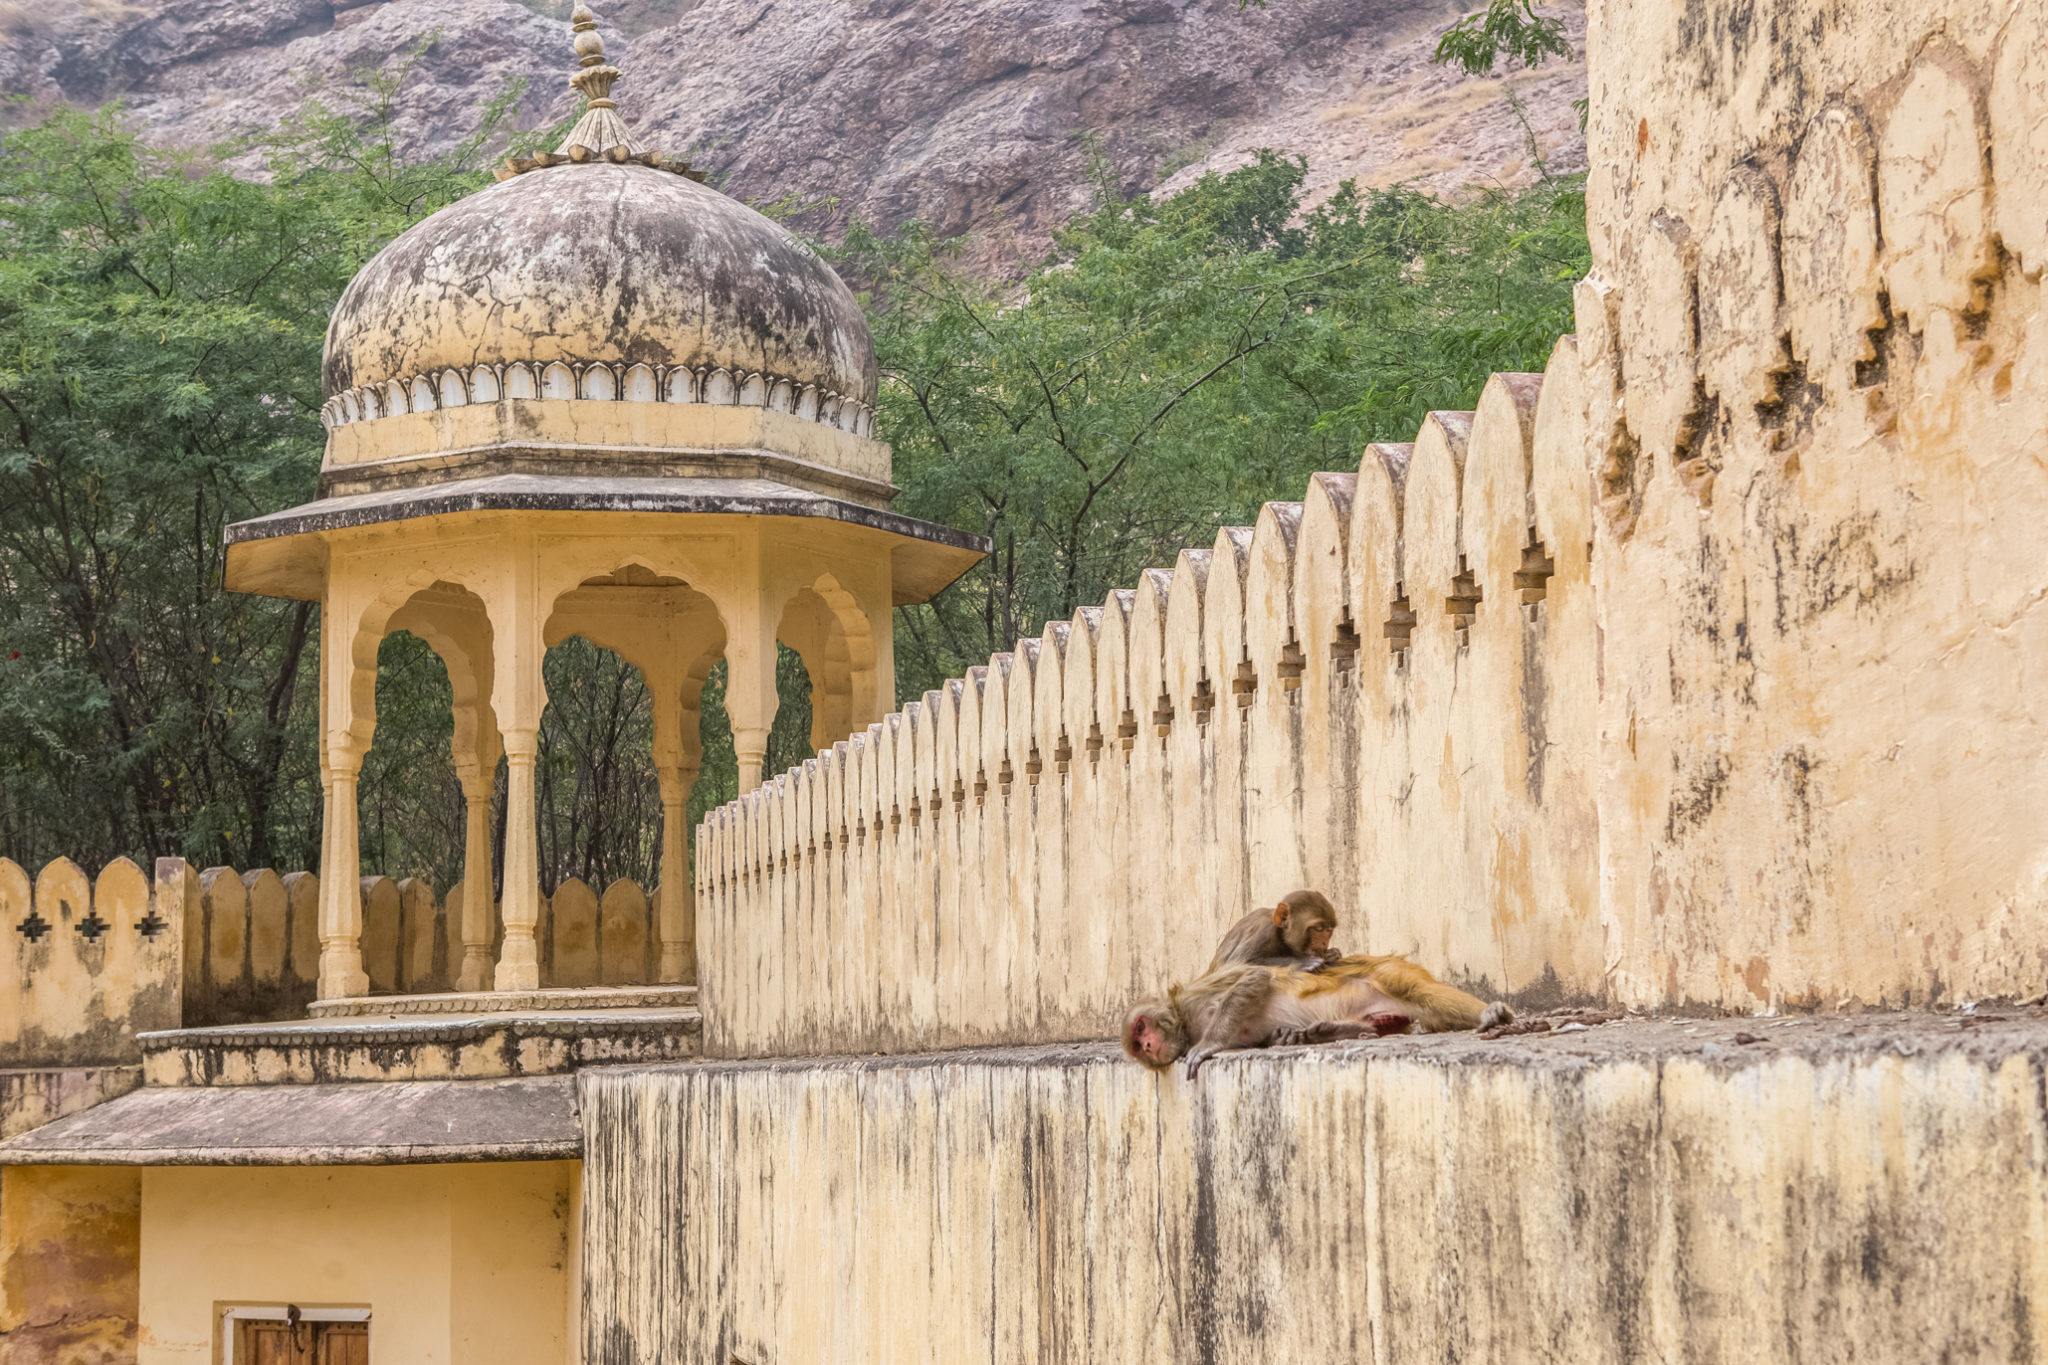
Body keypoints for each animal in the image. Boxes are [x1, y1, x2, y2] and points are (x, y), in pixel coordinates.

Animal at [1122, 954, 1514, 1078]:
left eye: (1141, 1027)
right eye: (1138, 1046)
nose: (1148, 1044)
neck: (1184, 1022)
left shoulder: (1196, 995)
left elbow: (1253, 979)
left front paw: (1207, 1046)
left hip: (1386, 972)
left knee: (1422, 991)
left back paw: (1490, 1012)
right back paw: (1333, 1031)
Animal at [1207, 889, 1342, 973]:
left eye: (1328, 930)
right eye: (1318, 929)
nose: (1324, 942)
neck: (1280, 934)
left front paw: (1330, 955)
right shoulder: (1264, 931)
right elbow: (1237, 964)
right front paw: (1304, 963)